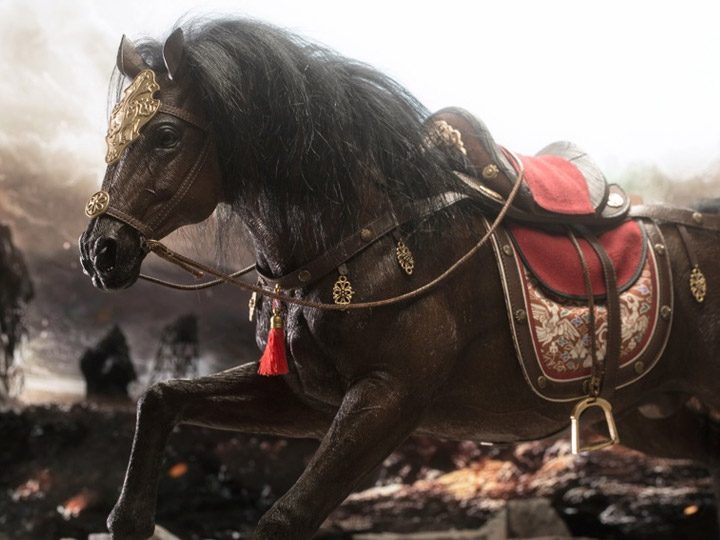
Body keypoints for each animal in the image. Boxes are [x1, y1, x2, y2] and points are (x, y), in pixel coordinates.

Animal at [78, 18, 720, 539]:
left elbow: (283, 519)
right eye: (111, 137)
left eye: (165, 136)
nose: (99, 250)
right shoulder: (305, 396)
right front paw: (129, 520)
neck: (366, 233)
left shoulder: (389, 398)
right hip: (658, 416)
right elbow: (160, 399)